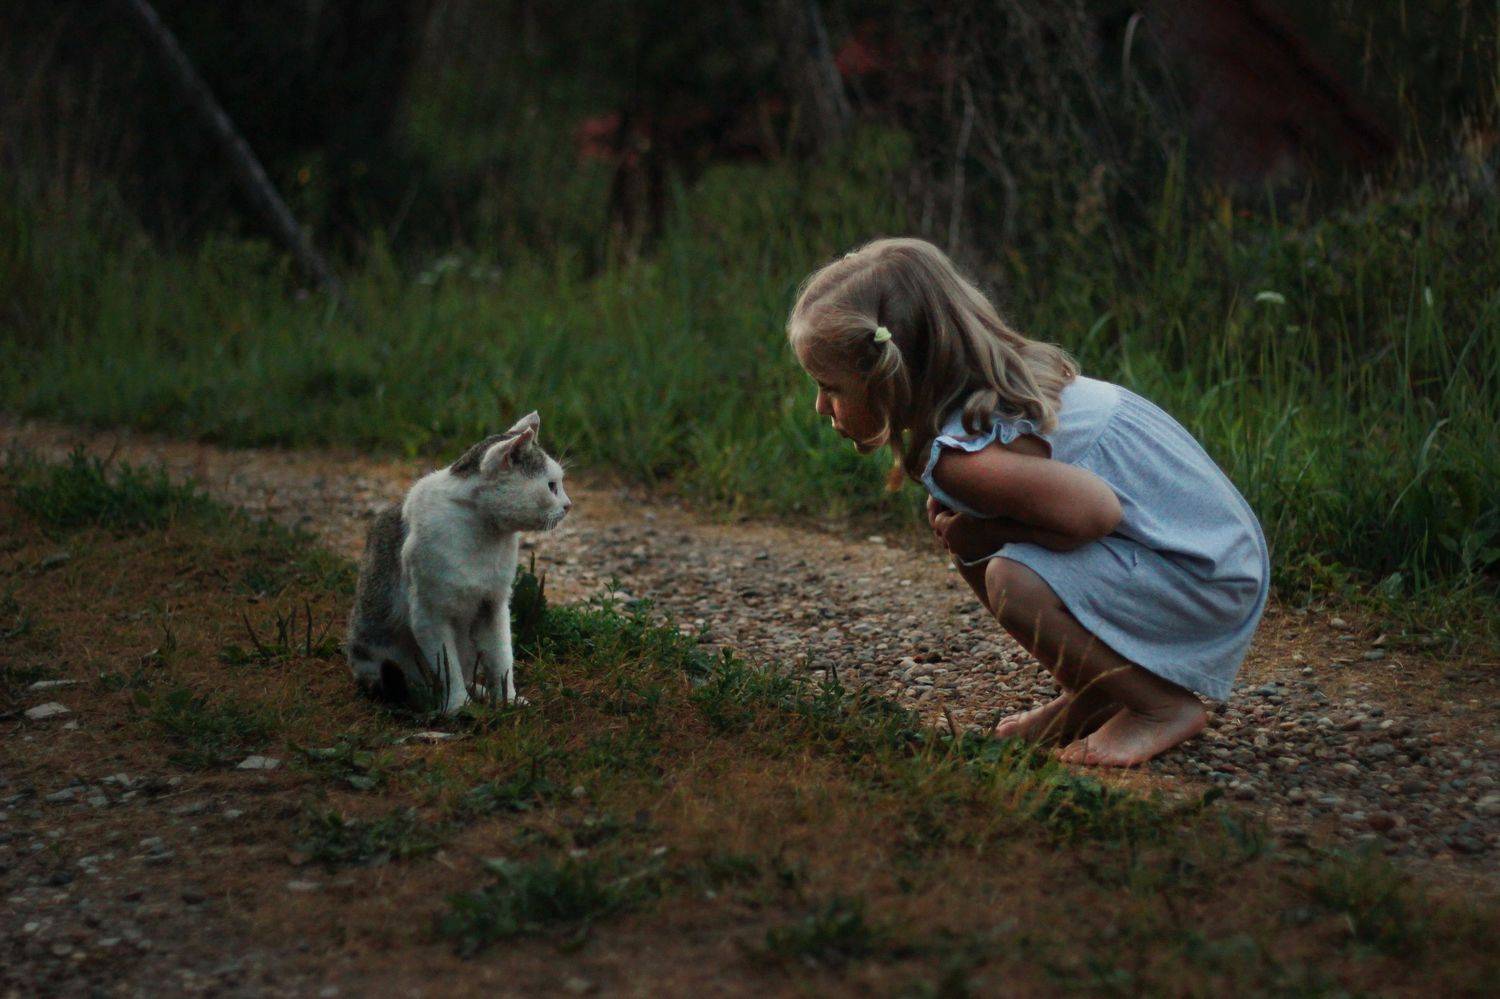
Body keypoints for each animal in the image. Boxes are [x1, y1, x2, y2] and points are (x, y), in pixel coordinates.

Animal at [346, 412, 570, 714]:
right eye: (551, 486)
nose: (568, 505)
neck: (484, 534)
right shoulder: (429, 614)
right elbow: (447, 667)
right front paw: (458, 707)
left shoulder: (493, 604)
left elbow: (502, 658)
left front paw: (507, 701)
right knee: (412, 679)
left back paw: (479, 691)